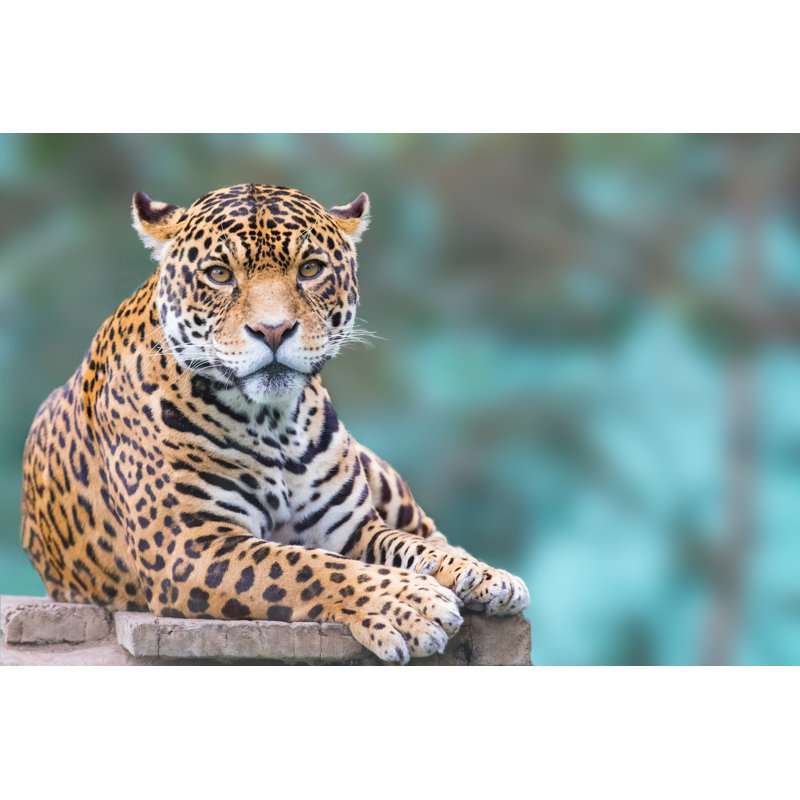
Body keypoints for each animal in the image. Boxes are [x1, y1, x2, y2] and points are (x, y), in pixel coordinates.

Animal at [20, 183, 530, 664]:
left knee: (427, 530)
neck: (272, 421)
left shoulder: (351, 527)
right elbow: (305, 567)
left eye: (310, 269)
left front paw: (476, 574)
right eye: (219, 274)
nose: (273, 330)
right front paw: (411, 603)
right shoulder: (189, 544)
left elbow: (408, 546)